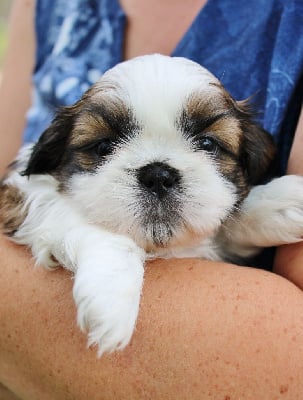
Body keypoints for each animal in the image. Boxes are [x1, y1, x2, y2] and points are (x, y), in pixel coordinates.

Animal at [0, 54, 303, 356]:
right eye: (104, 147)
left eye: (208, 144)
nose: (158, 175)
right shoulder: (22, 199)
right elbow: (93, 226)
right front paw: (111, 296)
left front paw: (281, 203)